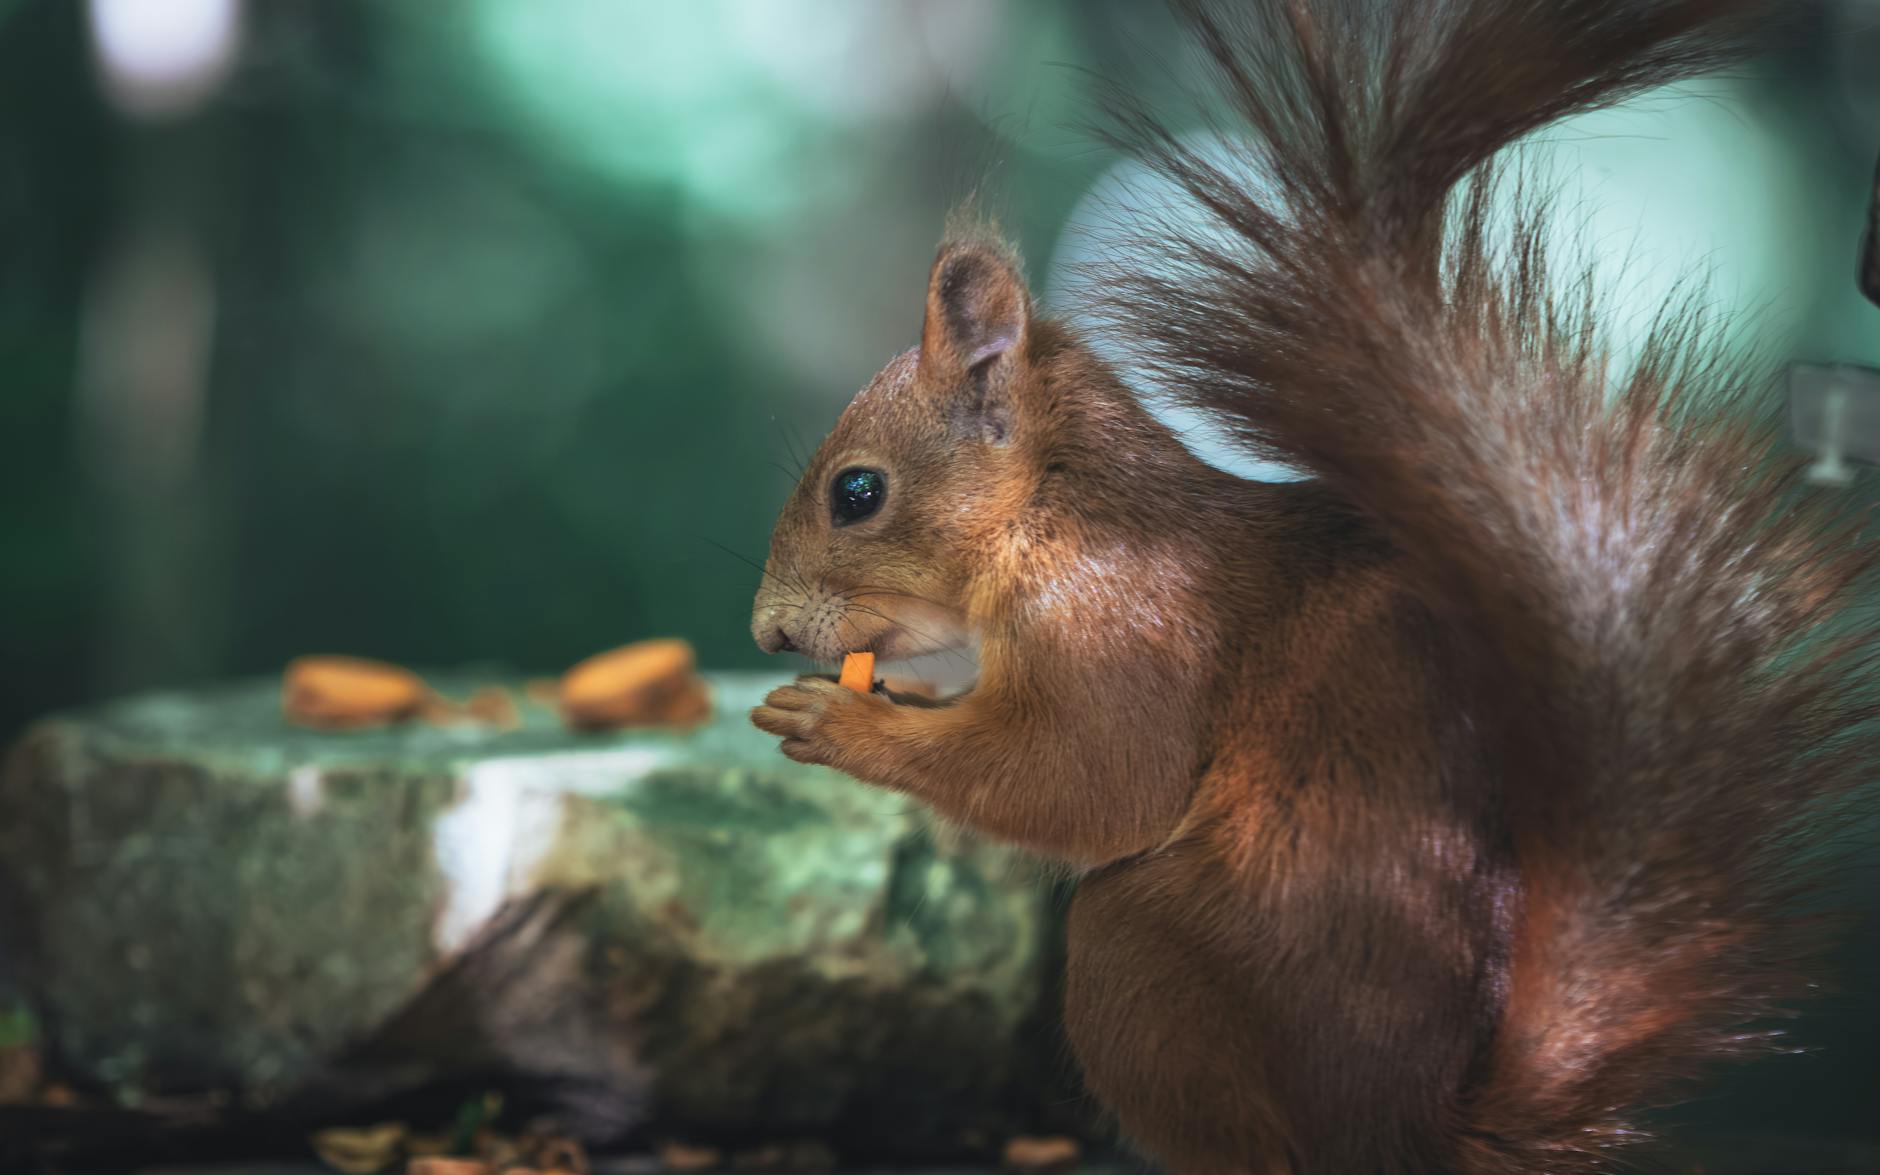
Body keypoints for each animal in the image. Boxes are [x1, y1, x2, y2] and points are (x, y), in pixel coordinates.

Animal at [749, 0, 1879, 1171]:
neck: (1057, 511)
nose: (768, 629)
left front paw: (844, 724)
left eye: (857, 492)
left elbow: (1090, 778)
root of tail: (1417, 1130)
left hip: (1141, 954)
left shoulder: (1124, 622)